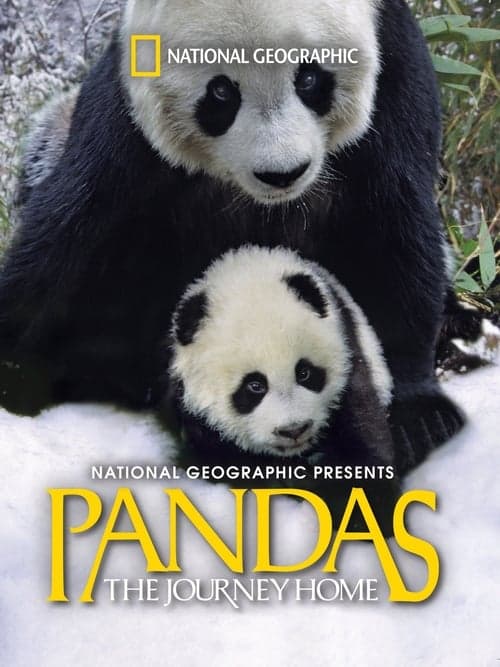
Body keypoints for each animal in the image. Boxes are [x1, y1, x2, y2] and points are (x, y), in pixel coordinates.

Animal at [0, 0, 463, 473]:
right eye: (221, 92)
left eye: (309, 77)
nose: (282, 173)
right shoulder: (127, 112)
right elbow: (71, 232)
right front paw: (15, 371)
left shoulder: (395, 77)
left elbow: (395, 228)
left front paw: (419, 416)